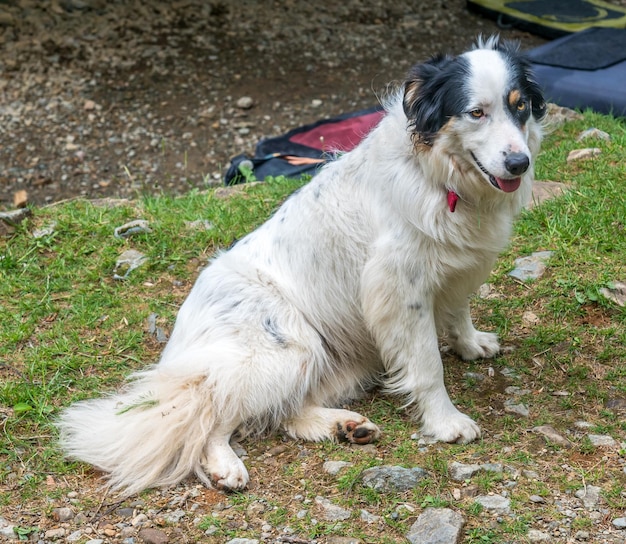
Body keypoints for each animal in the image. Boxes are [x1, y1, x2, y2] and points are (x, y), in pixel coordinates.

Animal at [59, 37, 544, 498]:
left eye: (519, 106)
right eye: (476, 113)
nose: (519, 163)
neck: (439, 175)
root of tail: (179, 343)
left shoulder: (458, 266)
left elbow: (459, 310)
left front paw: (471, 344)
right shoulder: (399, 291)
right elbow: (427, 366)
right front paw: (446, 422)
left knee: (283, 412)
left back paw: (345, 426)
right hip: (287, 349)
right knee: (211, 412)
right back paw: (225, 466)